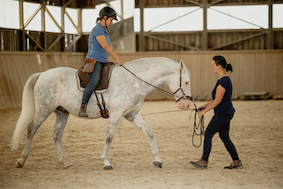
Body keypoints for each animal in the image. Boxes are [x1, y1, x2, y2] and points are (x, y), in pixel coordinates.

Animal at [11, 57, 193, 170]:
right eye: (186, 82)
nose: (186, 104)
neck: (133, 81)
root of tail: (42, 74)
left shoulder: (132, 115)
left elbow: (149, 133)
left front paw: (157, 160)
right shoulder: (116, 115)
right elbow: (109, 137)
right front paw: (105, 162)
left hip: (62, 113)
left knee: (56, 134)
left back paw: (65, 162)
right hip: (44, 109)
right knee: (31, 129)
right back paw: (21, 160)